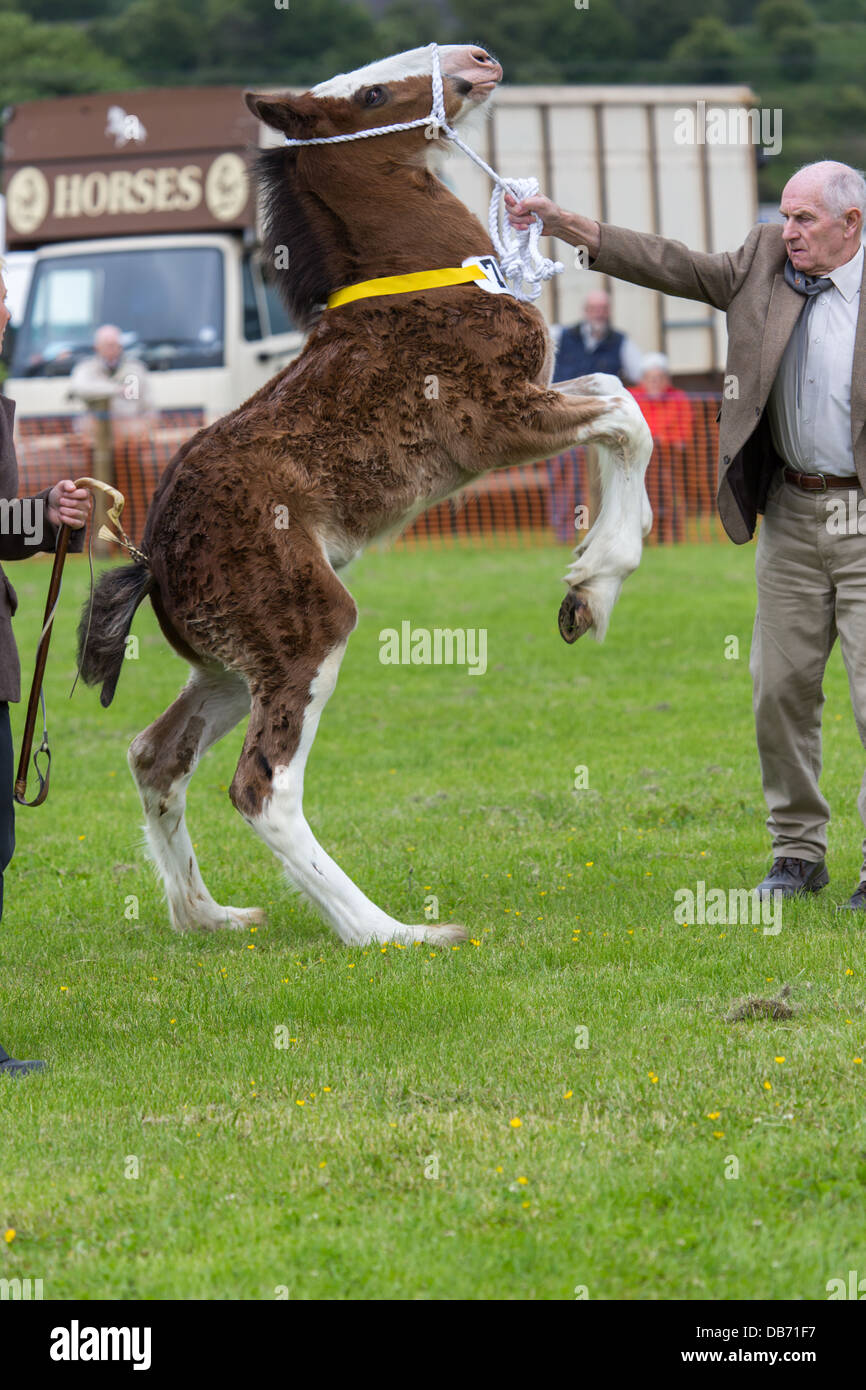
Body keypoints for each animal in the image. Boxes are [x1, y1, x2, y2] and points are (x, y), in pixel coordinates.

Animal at [79, 40, 650, 945]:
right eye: (374, 93)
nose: (478, 58)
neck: (423, 280)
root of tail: (154, 559)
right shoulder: (498, 425)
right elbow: (628, 416)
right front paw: (596, 582)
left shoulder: (536, 402)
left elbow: (613, 393)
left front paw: (586, 582)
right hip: (306, 628)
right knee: (261, 788)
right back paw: (390, 932)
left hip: (229, 667)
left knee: (155, 755)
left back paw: (207, 914)